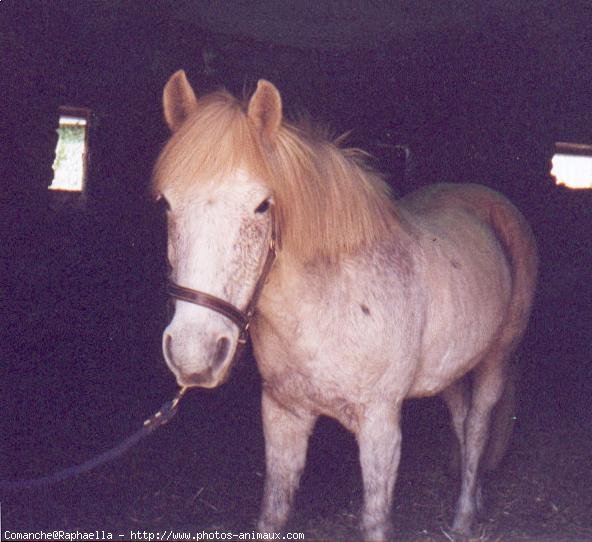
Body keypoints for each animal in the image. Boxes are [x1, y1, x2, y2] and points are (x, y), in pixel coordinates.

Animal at [151, 70, 536, 540]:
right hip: (451, 369)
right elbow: (273, 512)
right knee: (462, 421)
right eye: (167, 204)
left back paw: (463, 517)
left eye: (262, 205)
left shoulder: (380, 426)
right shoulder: (282, 414)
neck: (326, 305)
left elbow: (375, 520)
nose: (194, 353)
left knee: (478, 425)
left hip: (496, 358)